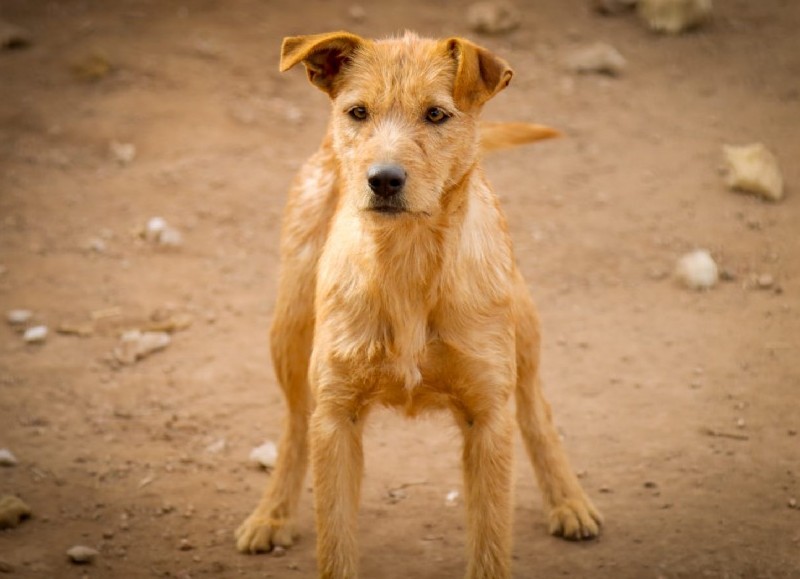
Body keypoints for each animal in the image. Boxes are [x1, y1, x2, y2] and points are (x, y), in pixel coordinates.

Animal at [236, 31, 600, 579]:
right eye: (358, 112)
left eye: (435, 114)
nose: (383, 179)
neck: (406, 262)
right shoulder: (336, 420)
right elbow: (335, 545)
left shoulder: (487, 419)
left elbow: (490, 545)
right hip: (290, 328)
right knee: (295, 423)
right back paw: (271, 514)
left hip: (524, 327)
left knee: (537, 409)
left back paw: (568, 499)